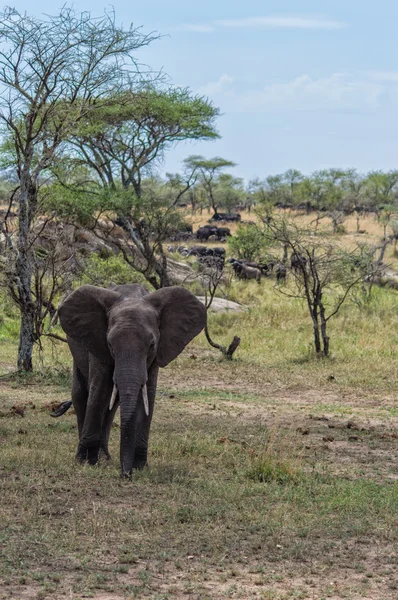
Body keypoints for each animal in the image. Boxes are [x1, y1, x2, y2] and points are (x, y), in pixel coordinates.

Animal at [59, 284, 208, 478]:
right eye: (110, 344)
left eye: (152, 345)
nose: (125, 475)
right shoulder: (98, 345)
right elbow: (99, 393)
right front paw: (86, 462)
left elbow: (148, 396)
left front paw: (140, 466)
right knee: (81, 395)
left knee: (112, 405)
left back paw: (105, 457)